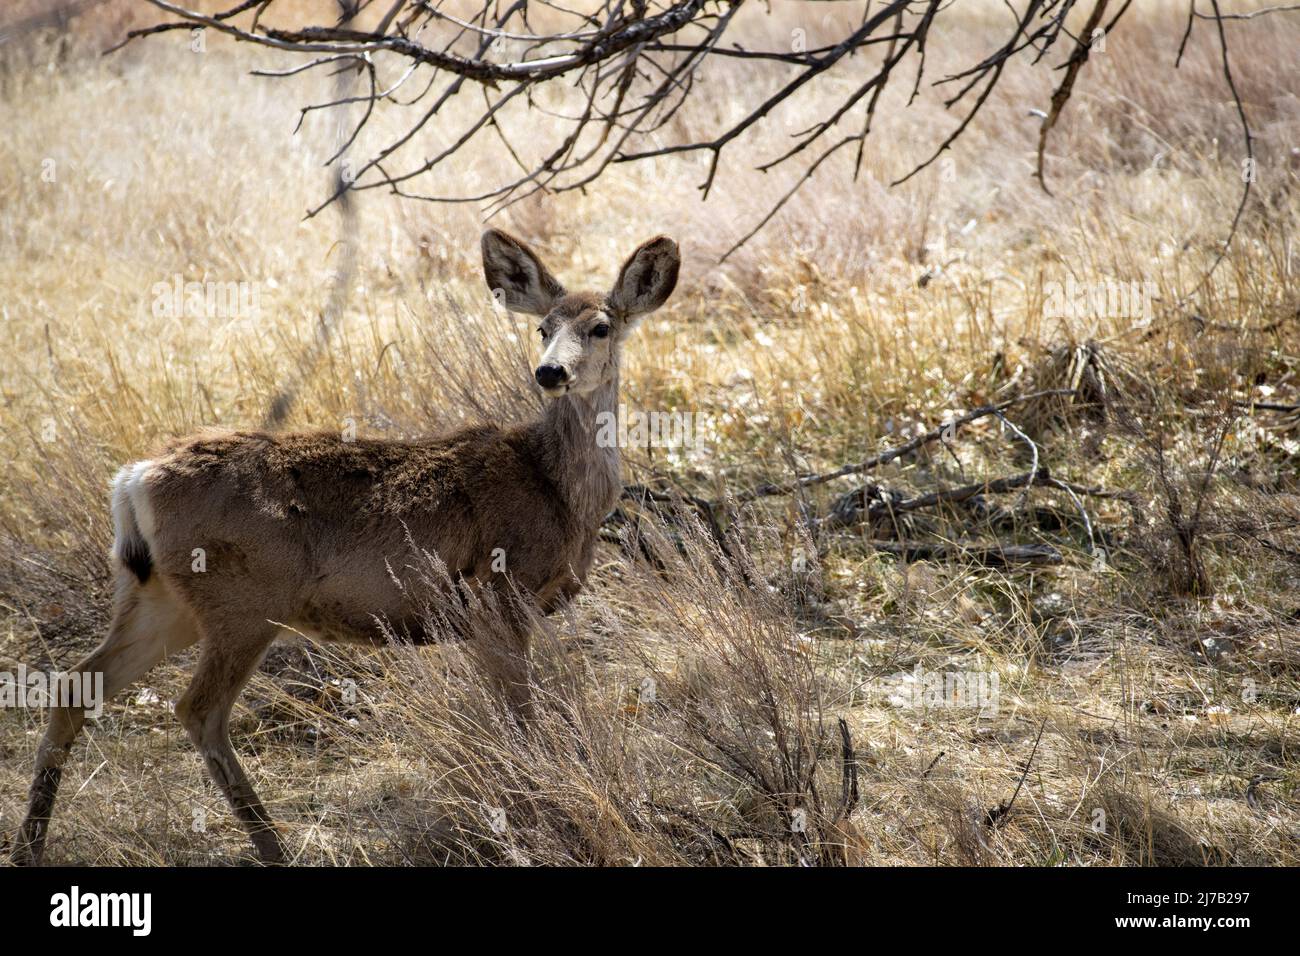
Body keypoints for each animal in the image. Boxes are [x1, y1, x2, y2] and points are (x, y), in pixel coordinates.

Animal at [15, 227, 681, 863]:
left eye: (600, 327)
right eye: (542, 328)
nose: (550, 372)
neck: (557, 489)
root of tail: (134, 479)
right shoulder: (500, 594)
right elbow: (521, 720)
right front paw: (542, 811)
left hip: (159, 598)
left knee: (74, 686)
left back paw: (29, 847)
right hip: (242, 601)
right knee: (198, 710)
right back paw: (273, 848)